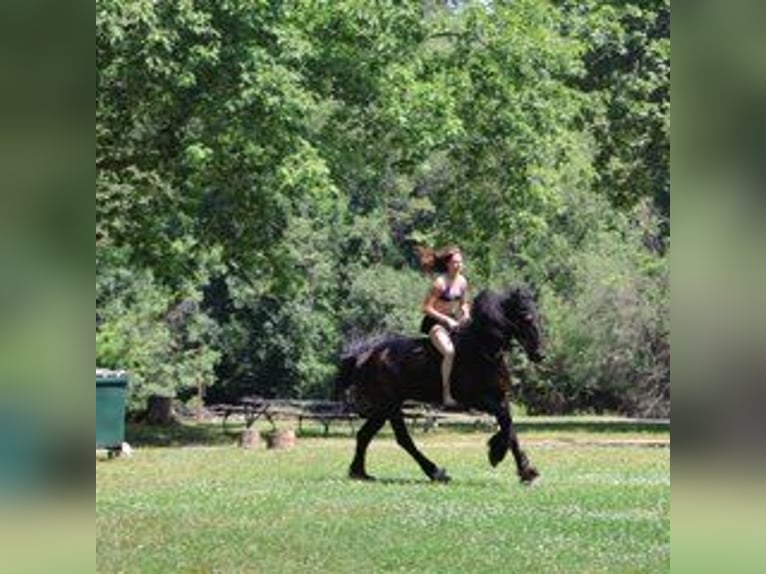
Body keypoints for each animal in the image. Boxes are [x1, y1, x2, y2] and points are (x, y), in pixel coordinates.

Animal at [335, 284, 545, 484]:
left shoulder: (500, 397)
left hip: (383, 409)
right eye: (526, 317)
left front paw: (518, 466)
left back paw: (360, 472)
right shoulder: (475, 400)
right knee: (403, 439)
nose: (540, 354)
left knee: (364, 435)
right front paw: (505, 458)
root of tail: (365, 355)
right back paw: (435, 472)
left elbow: (509, 427)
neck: (482, 349)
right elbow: (506, 425)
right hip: (390, 406)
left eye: (538, 315)